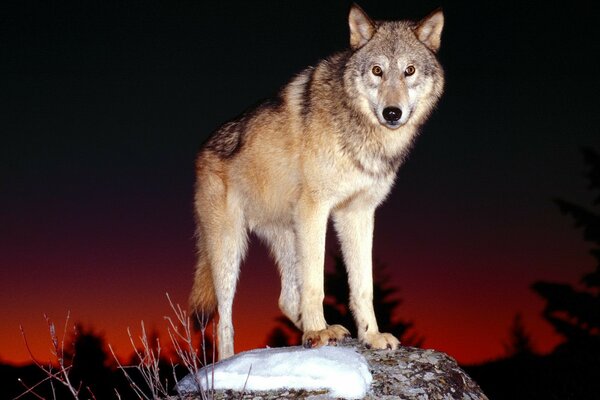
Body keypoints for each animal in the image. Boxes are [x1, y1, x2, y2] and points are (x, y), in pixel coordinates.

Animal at [190, 2, 442, 360]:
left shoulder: (358, 214)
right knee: (224, 322)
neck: (359, 128)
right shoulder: (316, 209)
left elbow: (363, 286)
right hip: (229, 248)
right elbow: (315, 283)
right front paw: (316, 332)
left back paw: (325, 331)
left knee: (285, 298)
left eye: (409, 71)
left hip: (287, 234)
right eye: (377, 71)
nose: (392, 113)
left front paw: (370, 336)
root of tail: (202, 151)